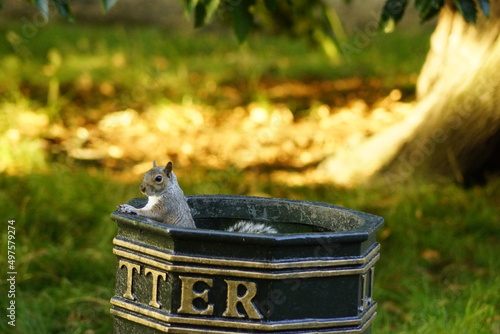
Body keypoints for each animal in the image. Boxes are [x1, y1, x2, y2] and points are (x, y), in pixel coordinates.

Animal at [117, 160, 278, 234]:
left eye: (158, 178)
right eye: (145, 174)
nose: (142, 188)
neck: (164, 192)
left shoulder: (167, 207)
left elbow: (150, 214)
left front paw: (130, 208)